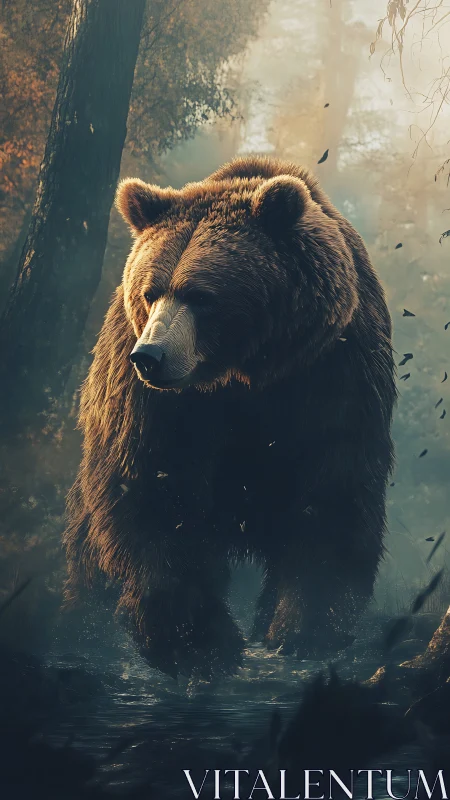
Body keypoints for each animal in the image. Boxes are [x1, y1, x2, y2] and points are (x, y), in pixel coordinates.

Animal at [63, 156, 396, 680]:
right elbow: (154, 489)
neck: (243, 371)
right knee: (90, 554)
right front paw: (199, 642)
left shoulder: (333, 370)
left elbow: (331, 495)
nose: (150, 357)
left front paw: (302, 631)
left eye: (201, 295)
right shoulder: (158, 402)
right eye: (150, 291)